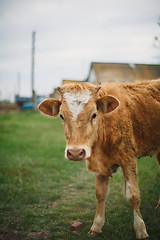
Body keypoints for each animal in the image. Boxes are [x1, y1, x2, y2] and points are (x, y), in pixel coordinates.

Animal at [38, 79, 160, 239]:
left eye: (94, 114)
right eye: (61, 116)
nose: (75, 152)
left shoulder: (129, 159)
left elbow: (133, 195)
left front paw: (141, 230)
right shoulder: (99, 165)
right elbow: (100, 194)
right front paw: (96, 226)